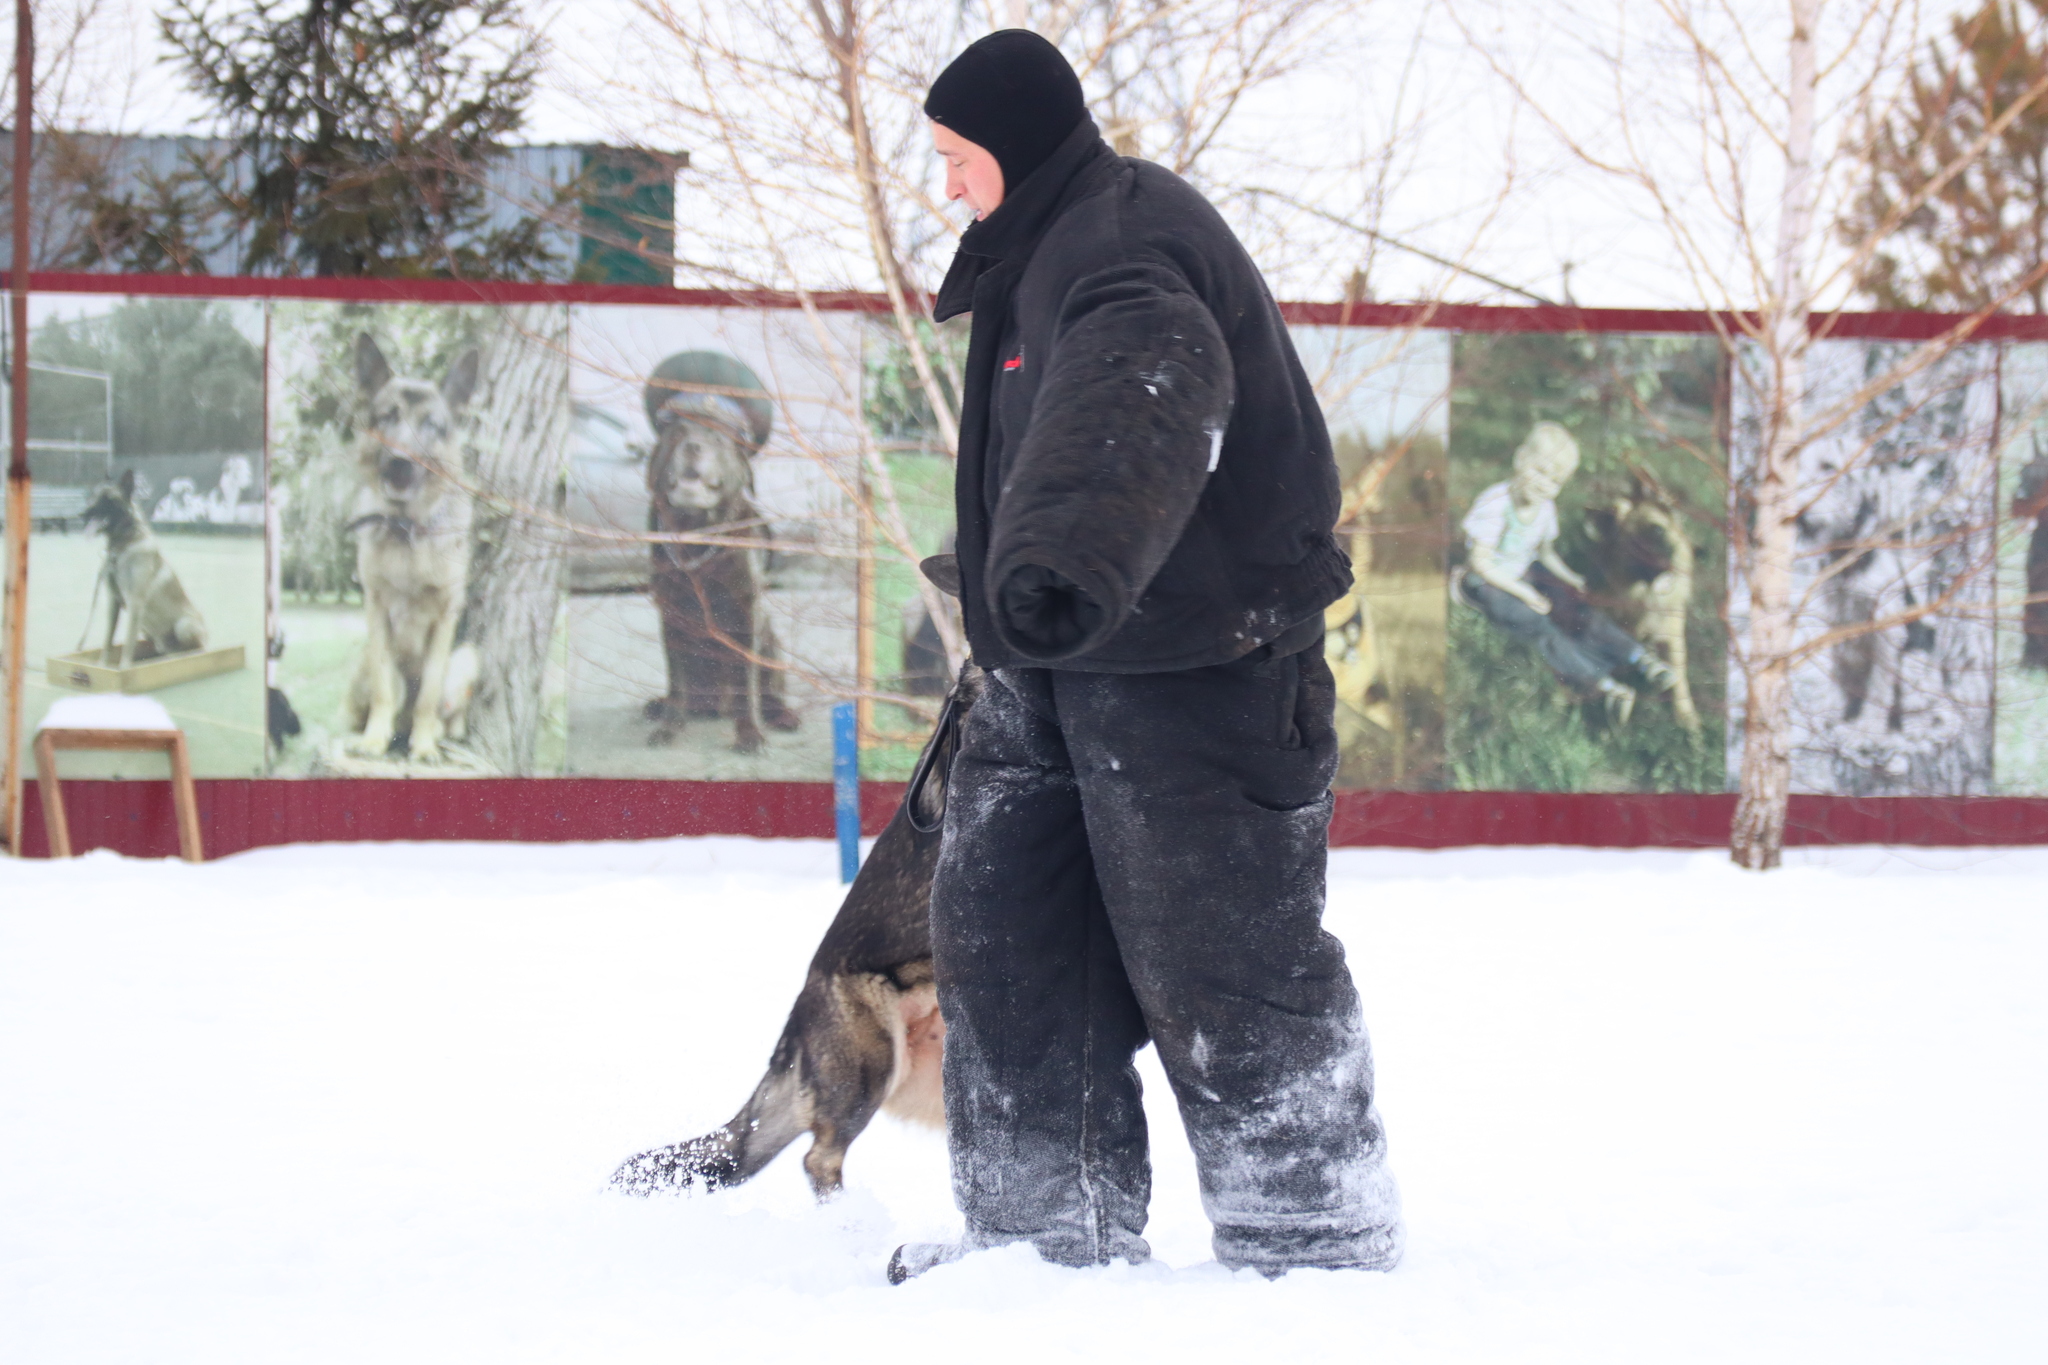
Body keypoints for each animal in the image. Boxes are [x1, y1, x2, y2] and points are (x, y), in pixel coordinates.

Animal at [82, 470, 207, 667]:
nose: (82, 514)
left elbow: (128, 642)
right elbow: (107, 641)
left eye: (108, 498)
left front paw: (124, 668)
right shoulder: (114, 603)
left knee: (196, 651)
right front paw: (102, 665)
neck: (123, 545)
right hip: (147, 630)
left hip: (183, 626)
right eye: (94, 496)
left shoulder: (136, 602)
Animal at [350, 329, 485, 757]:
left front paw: (424, 746)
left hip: (467, 657)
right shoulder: (376, 610)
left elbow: (428, 691)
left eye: (431, 425)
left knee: (443, 708)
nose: (399, 462)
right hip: (364, 659)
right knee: (379, 700)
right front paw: (373, 738)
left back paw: (434, 734)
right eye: (389, 416)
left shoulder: (444, 618)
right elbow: (382, 688)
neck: (406, 527)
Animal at [647, 378, 798, 753]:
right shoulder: (670, 615)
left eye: (717, 439)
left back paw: (783, 715)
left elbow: (746, 681)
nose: (693, 446)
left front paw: (749, 735)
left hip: (770, 639)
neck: (697, 536)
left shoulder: (746, 614)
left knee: (770, 688)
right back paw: (657, 706)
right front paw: (669, 728)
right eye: (677, 434)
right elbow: (677, 678)